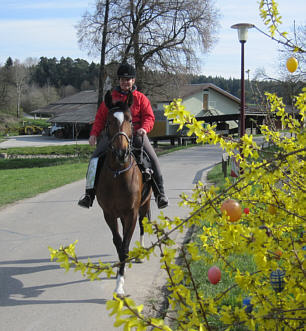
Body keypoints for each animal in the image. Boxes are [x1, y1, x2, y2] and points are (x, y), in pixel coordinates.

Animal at [95, 89, 152, 296]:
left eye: (130, 120)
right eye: (109, 121)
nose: (122, 153)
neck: (118, 175)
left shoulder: (132, 213)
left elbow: (126, 245)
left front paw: (120, 284)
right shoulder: (109, 214)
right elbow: (118, 243)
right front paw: (120, 274)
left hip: (144, 206)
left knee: (144, 226)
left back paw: (141, 253)